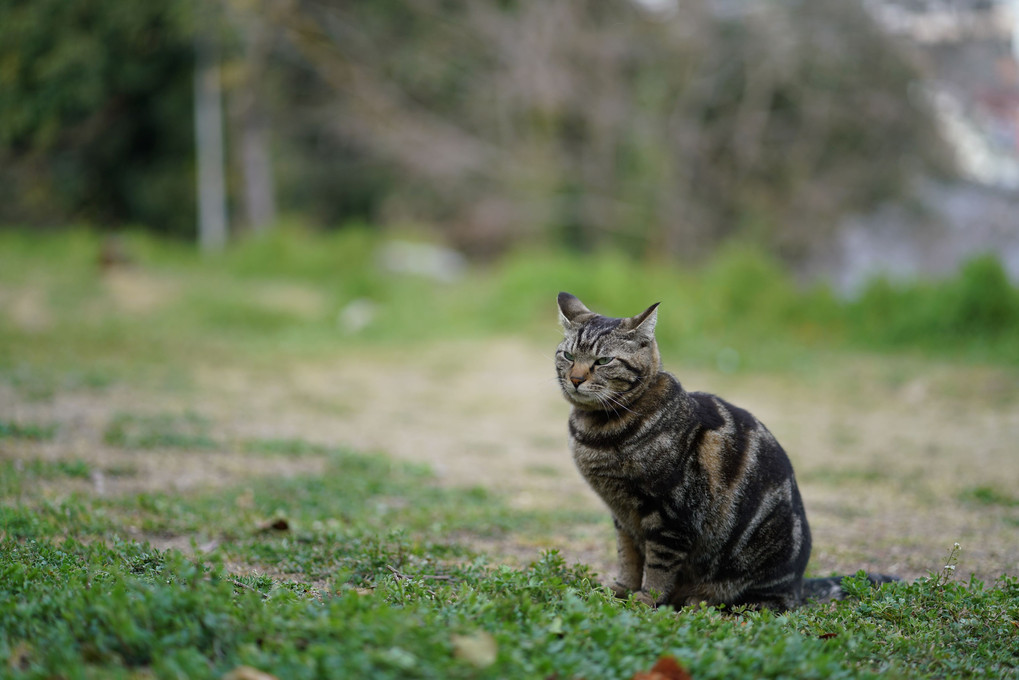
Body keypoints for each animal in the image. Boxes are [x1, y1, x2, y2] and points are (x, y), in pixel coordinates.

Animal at [554, 293, 896, 611]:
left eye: (603, 361)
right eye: (568, 355)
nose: (575, 378)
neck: (598, 432)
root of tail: (800, 584)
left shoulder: (669, 515)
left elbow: (658, 567)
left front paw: (646, 600)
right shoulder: (623, 516)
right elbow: (628, 558)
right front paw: (621, 591)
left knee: (770, 603)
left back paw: (703, 601)